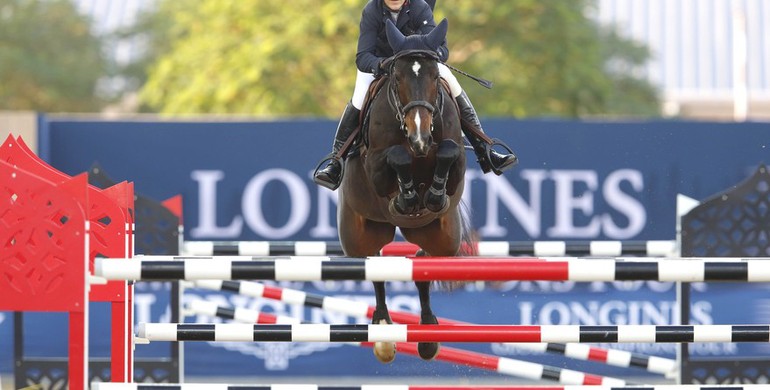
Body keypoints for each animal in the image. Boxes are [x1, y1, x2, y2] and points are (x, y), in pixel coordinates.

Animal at [338, 19, 474, 364]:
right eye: (397, 78)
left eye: (434, 76)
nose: (419, 137)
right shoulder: (375, 164)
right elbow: (396, 158)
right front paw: (408, 196)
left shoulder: (456, 162)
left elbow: (449, 152)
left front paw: (432, 194)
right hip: (359, 238)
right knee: (375, 266)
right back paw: (384, 335)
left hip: (443, 238)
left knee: (423, 263)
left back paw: (427, 335)